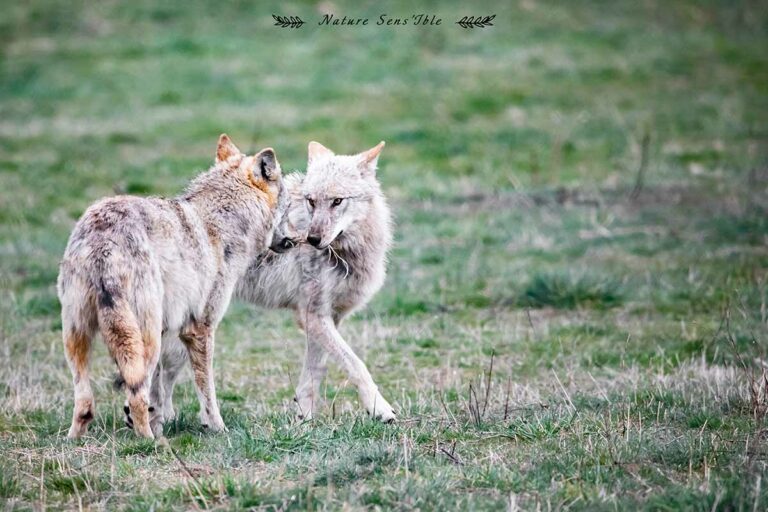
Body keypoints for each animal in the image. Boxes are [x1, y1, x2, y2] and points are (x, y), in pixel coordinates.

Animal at [57, 134, 288, 439]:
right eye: (289, 202)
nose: (298, 238)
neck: (222, 224)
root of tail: (104, 240)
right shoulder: (200, 329)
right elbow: (206, 391)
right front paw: (218, 428)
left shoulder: (172, 330)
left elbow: (159, 390)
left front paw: (158, 419)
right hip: (145, 339)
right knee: (136, 395)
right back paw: (149, 442)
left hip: (78, 336)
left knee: (85, 403)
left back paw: (73, 440)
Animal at [130, 140, 396, 426]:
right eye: (311, 201)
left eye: (337, 201)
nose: (312, 239)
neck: (346, 254)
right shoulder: (312, 316)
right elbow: (356, 365)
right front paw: (380, 408)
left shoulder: (326, 318)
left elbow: (314, 372)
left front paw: (304, 418)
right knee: (163, 373)